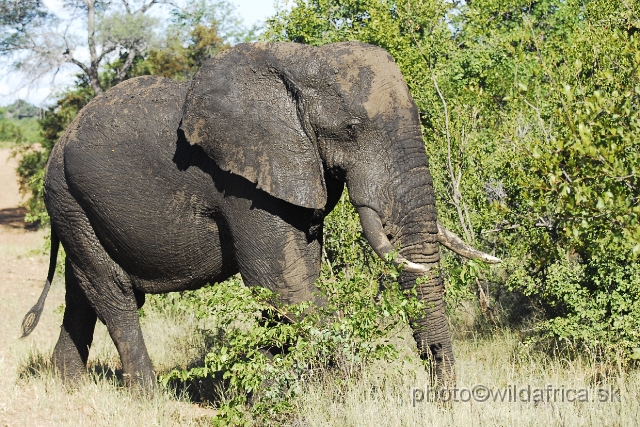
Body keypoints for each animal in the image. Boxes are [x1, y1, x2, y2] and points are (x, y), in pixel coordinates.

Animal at [21, 41, 500, 390]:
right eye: (350, 130)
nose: (441, 397)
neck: (303, 62)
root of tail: (58, 143)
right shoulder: (241, 182)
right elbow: (283, 285)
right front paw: (338, 393)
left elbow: (290, 280)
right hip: (67, 197)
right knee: (114, 293)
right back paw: (147, 396)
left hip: (74, 206)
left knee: (82, 291)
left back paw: (66, 387)